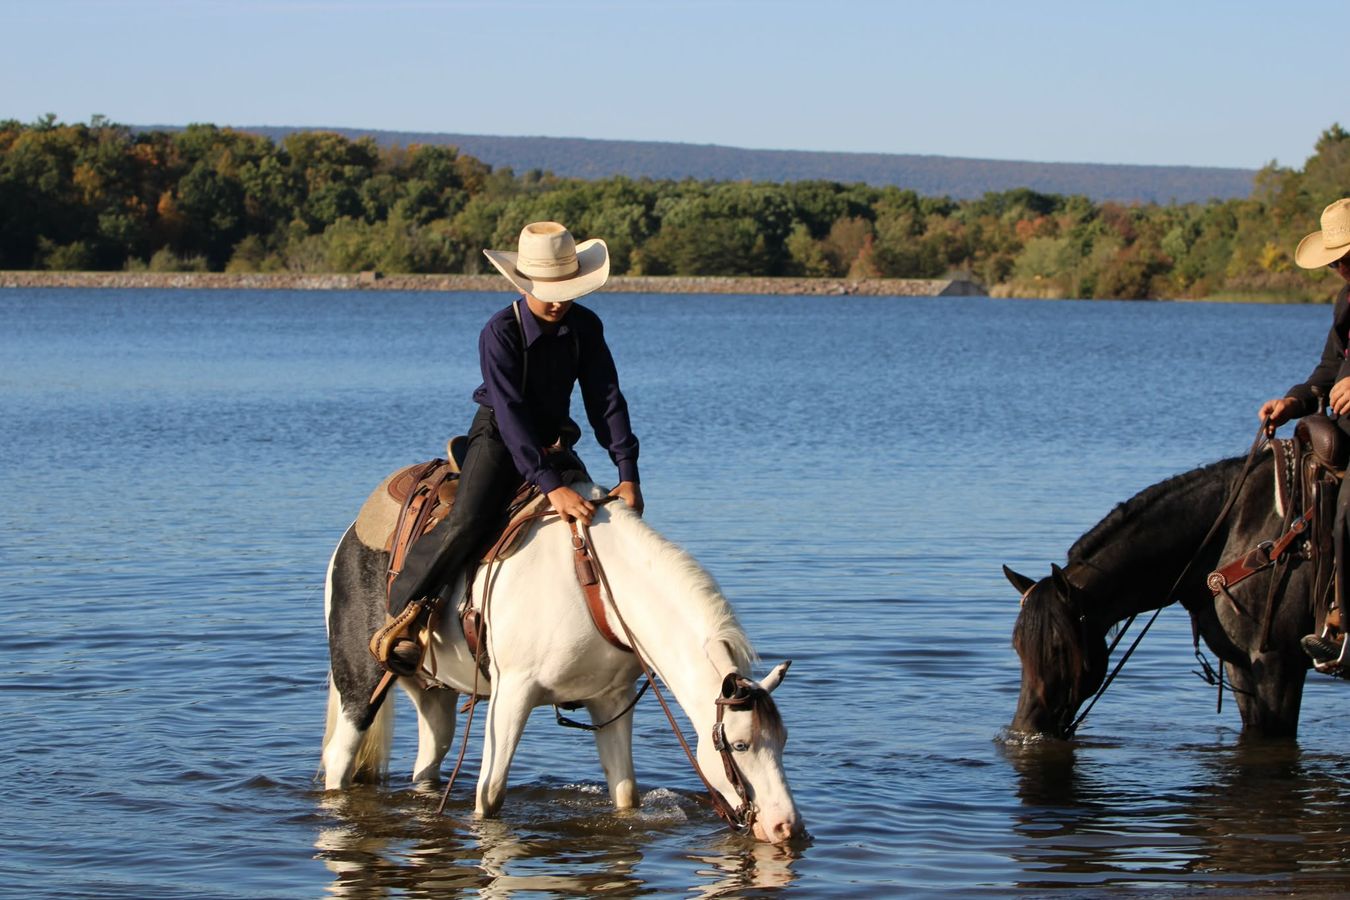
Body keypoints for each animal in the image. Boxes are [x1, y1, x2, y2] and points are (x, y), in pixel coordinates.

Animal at [319, 474, 804, 844]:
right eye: (739, 745)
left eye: (783, 741)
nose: (786, 826)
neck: (595, 585)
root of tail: (350, 535)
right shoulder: (511, 695)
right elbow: (489, 797)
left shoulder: (611, 700)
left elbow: (626, 796)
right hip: (360, 684)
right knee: (339, 759)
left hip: (432, 693)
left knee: (426, 765)